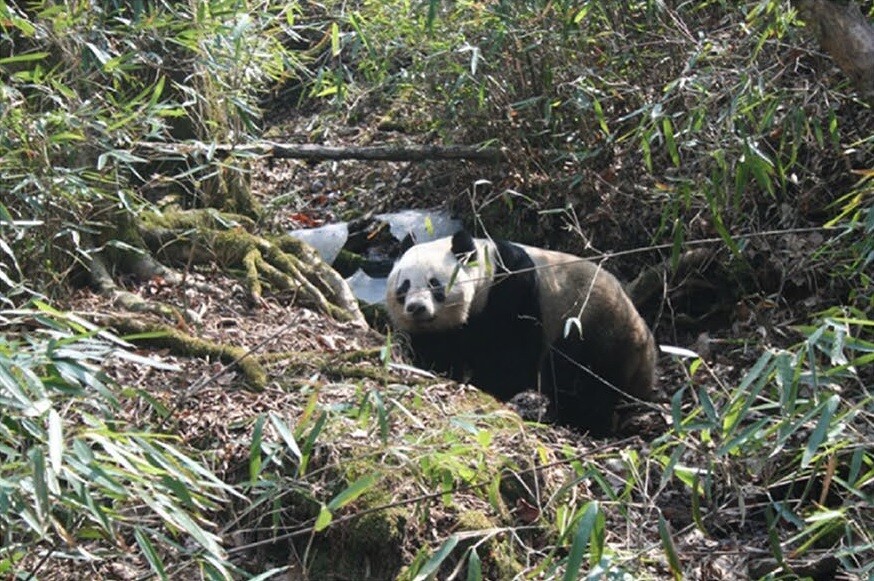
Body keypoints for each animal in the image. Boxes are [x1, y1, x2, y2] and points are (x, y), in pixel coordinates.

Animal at [384, 230, 656, 436]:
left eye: (434, 284)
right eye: (404, 286)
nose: (416, 307)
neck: (487, 273)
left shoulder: (513, 290)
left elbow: (510, 356)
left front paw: (486, 387)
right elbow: (440, 350)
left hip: (595, 330)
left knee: (585, 382)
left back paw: (580, 422)